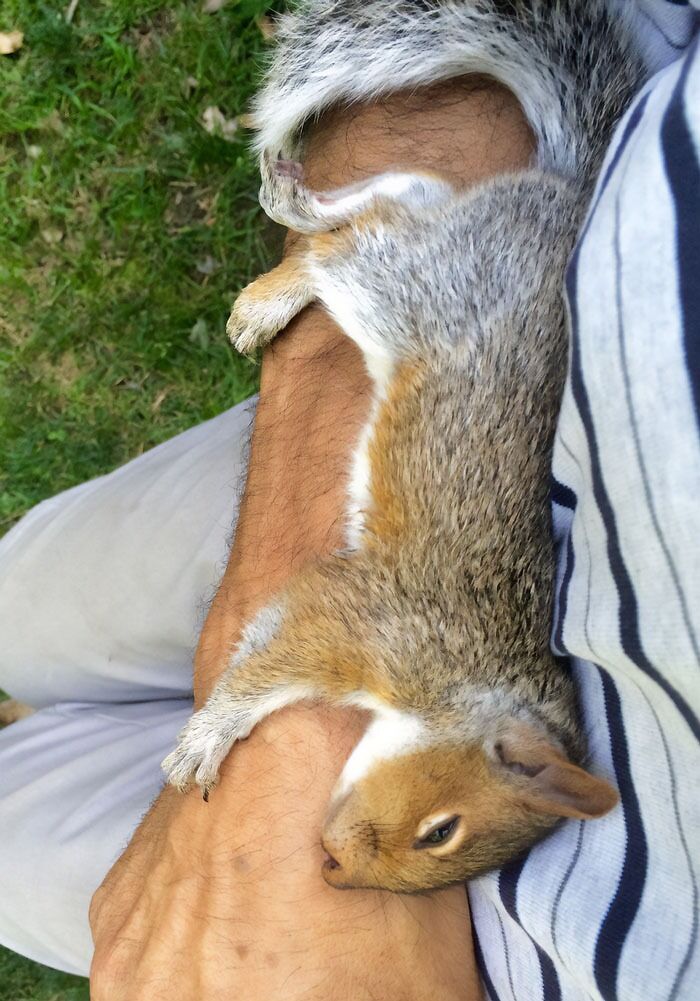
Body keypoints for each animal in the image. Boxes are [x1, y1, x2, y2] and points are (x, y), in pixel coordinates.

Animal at [163, 1, 646, 893]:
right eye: (442, 829)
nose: (334, 867)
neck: (482, 680)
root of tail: (568, 198)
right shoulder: (367, 621)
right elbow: (265, 665)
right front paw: (206, 736)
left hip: (435, 252)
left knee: (411, 196)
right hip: (416, 291)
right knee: (361, 237)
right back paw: (289, 230)